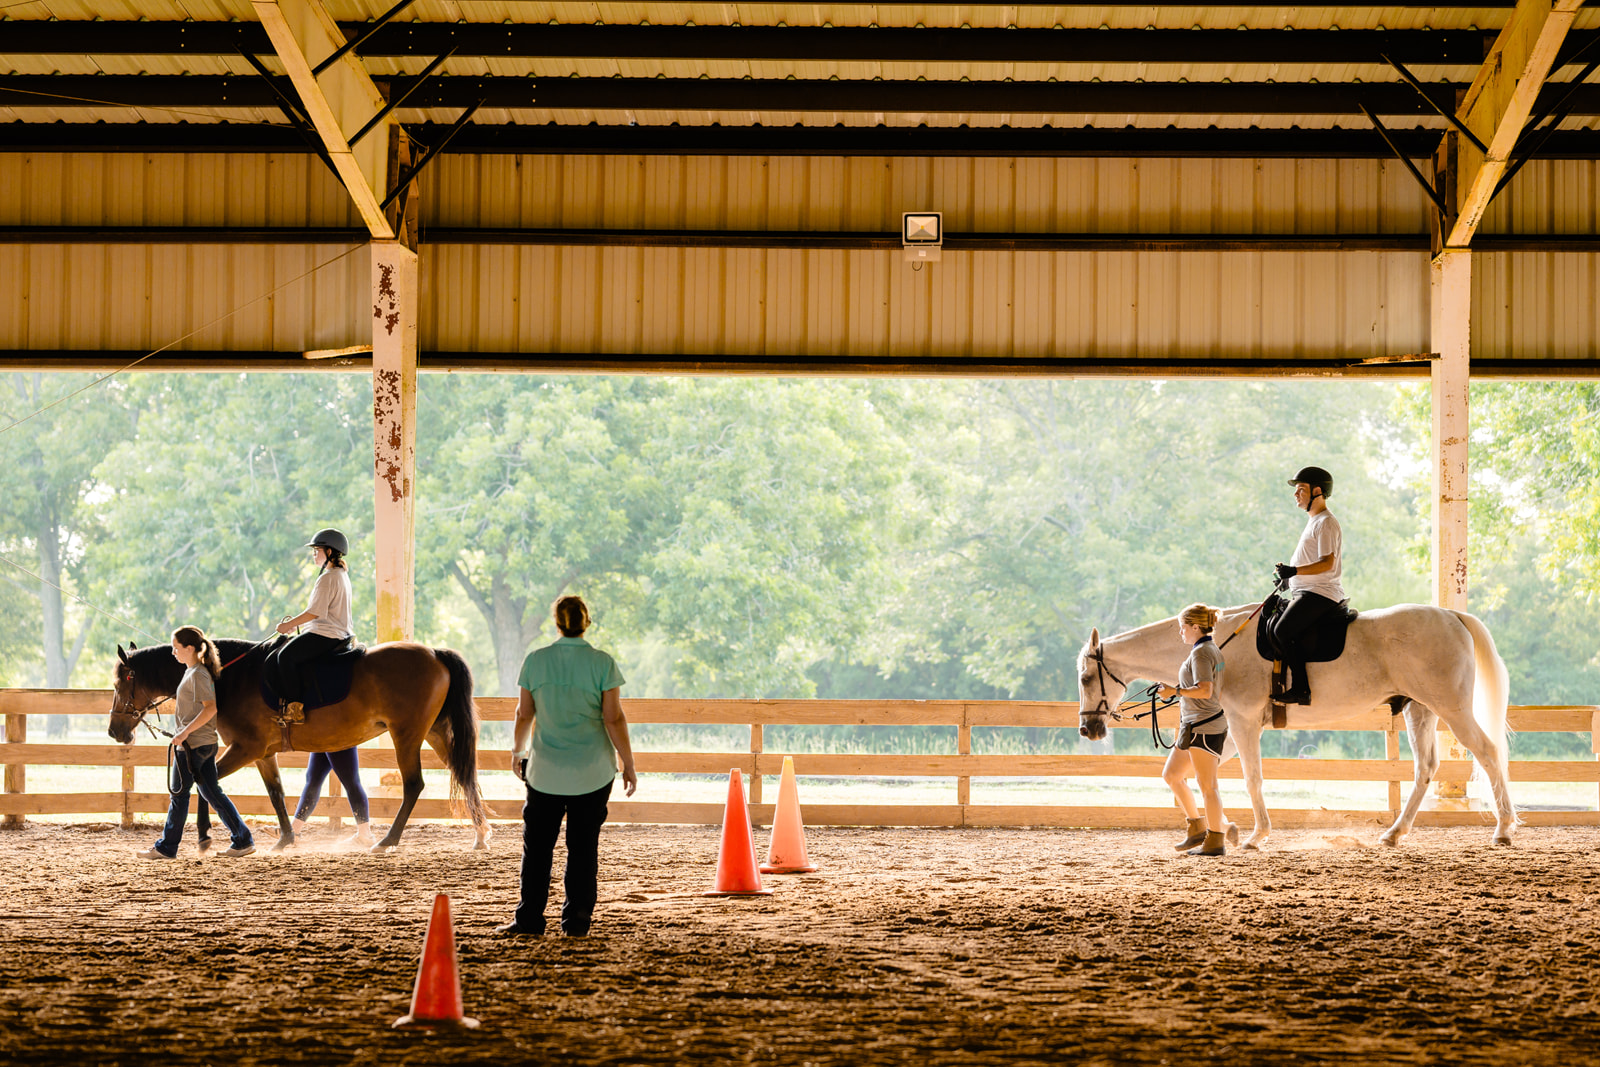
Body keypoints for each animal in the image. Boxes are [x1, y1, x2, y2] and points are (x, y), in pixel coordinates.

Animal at [108, 639, 489, 857]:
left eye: (120, 682)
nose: (114, 730)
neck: (227, 676)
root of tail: (434, 653)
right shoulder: (263, 754)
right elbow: (275, 793)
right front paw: (285, 839)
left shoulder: (245, 748)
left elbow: (207, 787)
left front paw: (205, 838)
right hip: (436, 732)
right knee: (464, 775)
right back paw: (481, 836)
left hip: (407, 735)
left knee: (413, 785)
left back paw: (387, 841)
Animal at [1075, 604, 1510, 844]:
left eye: (1085, 678)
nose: (1088, 730)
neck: (1218, 646)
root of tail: (1450, 614)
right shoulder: (1230, 728)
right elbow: (1198, 775)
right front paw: (1226, 828)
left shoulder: (1243, 721)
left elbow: (1251, 779)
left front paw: (1256, 835)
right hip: (1420, 710)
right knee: (1425, 769)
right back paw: (1394, 834)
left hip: (1452, 709)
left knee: (1488, 754)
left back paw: (1504, 829)